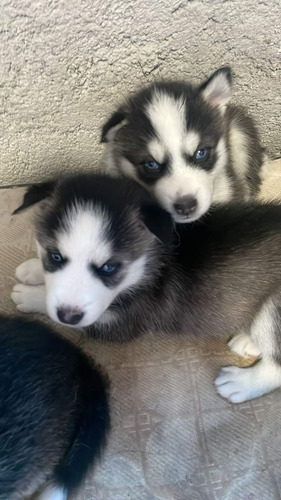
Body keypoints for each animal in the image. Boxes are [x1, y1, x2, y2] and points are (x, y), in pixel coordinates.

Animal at [11, 174, 281, 404]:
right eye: (55, 256)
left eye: (109, 267)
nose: (68, 315)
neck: (150, 263)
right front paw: (33, 269)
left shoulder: (123, 323)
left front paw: (29, 295)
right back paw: (247, 341)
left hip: (274, 306)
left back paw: (242, 382)